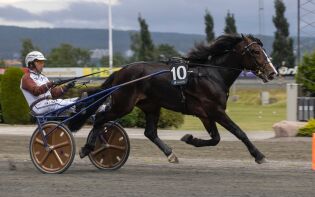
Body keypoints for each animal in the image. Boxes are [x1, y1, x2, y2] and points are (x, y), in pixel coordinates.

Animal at [68, 34, 278, 165]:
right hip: (123, 104)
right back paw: (87, 148)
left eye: (263, 50)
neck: (213, 74)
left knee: (150, 132)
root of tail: (121, 71)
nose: (273, 72)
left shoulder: (206, 114)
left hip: (151, 106)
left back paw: (171, 155)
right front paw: (259, 155)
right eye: (256, 52)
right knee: (100, 118)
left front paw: (190, 138)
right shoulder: (215, 111)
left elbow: (215, 139)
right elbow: (239, 132)